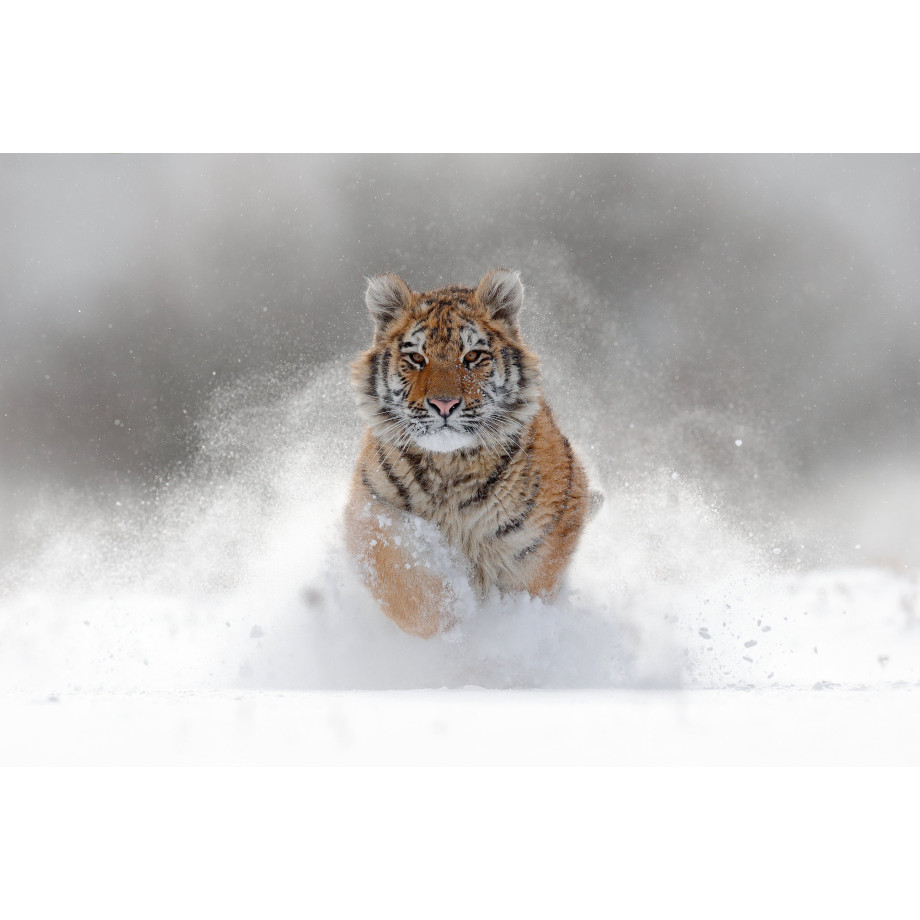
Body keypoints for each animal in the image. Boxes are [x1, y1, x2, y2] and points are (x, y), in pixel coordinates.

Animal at [342, 270, 600, 636]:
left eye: (473, 356)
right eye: (417, 358)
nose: (444, 404)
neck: (450, 466)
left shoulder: (539, 545)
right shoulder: (371, 512)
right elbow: (406, 584)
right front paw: (452, 620)